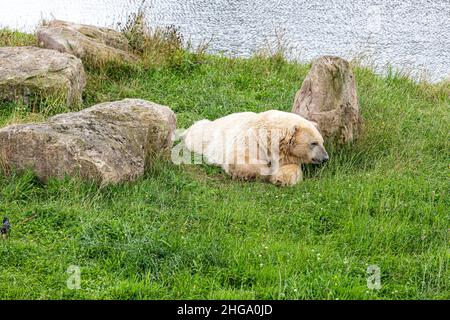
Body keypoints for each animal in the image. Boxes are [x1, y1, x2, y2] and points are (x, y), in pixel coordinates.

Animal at [181, 110, 328, 186]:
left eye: (322, 142)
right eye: (314, 143)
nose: (325, 158)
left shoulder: (284, 154)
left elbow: (289, 168)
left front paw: (281, 179)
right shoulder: (251, 138)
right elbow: (239, 160)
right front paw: (268, 170)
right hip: (208, 136)